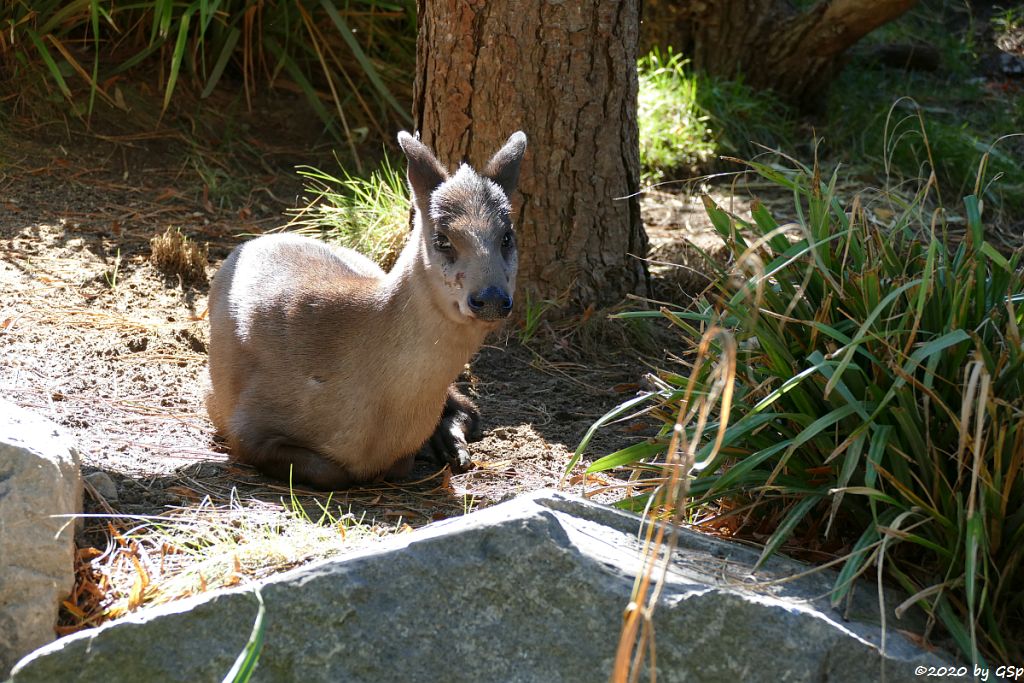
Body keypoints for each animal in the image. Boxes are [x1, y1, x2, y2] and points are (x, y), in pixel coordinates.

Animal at [207, 129, 528, 491]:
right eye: (442, 239)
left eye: (507, 236)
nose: (492, 298)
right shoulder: (243, 422)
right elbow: (331, 471)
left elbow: (401, 460)